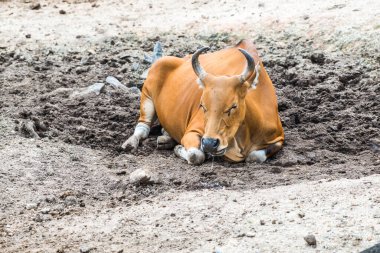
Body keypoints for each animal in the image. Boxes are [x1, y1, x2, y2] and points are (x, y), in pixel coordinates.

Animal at [122, 38, 284, 163]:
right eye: (202, 106)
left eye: (233, 106)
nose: (209, 144)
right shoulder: (193, 132)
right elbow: (196, 155)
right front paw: (180, 148)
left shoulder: (278, 138)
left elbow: (254, 156)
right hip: (147, 94)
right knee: (143, 127)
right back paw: (131, 143)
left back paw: (166, 138)